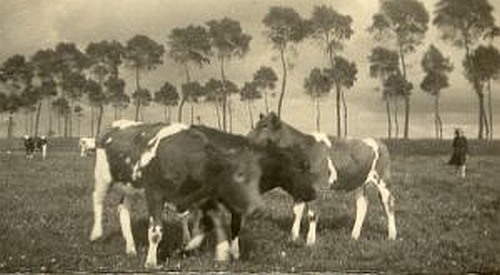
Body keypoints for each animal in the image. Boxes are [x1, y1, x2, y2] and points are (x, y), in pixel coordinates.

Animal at [92, 123, 268, 270]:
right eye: (239, 176)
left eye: (259, 177)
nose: (257, 210)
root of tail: (115, 125)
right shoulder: (154, 194)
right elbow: (155, 232)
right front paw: (151, 262)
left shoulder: (202, 197)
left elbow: (207, 225)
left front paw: (213, 251)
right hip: (103, 176)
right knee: (98, 200)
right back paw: (96, 234)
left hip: (130, 186)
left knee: (123, 209)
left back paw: (130, 248)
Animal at [247, 112, 398, 246]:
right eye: (256, 125)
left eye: (265, 126)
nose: (246, 138)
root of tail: (377, 141)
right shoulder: (300, 186)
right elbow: (296, 212)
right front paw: (293, 237)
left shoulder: (317, 187)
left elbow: (312, 214)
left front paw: (310, 241)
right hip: (359, 183)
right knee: (362, 205)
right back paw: (354, 235)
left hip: (383, 180)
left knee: (388, 204)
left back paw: (392, 235)